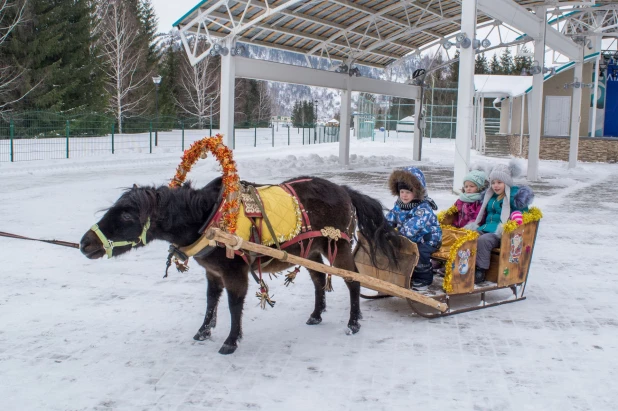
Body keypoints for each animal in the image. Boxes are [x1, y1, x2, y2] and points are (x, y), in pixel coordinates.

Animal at [79, 177, 398, 354]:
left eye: (127, 215)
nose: (85, 243)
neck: (208, 216)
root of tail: (343, 190)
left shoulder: (235, 272)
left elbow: (234, 305)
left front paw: (231, 341)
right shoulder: (213, 272)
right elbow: (211, 301)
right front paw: (204, 331)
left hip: (338, 247)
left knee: (353, 281)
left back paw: (353, 323)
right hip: (310, 251)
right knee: (320, 281)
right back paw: (316, 314)